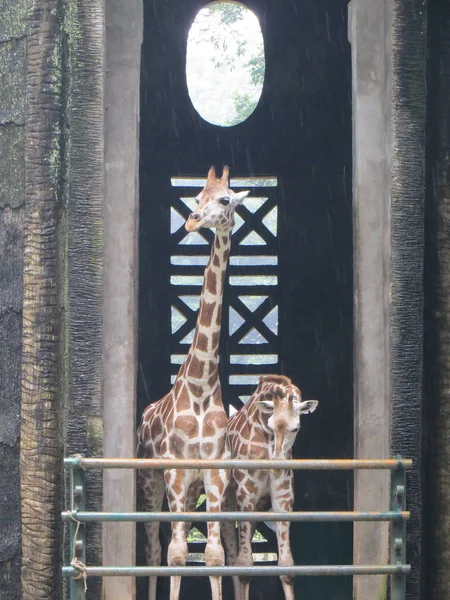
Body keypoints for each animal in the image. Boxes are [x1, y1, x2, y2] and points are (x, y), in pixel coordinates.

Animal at [137, 166, 250, 600]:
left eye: (225, 199)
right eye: (197, 196)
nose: (192, 220)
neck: (201, 386)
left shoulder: (214, 475)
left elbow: (215, 555)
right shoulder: (175, 471)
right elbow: (177, 554)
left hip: (193, 491)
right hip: (152, 485)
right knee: (155, 550)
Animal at [223, 376, 318, 600]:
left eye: (296, 428)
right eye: (271, 425)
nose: (277, 464)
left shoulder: (283, 495)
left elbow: (286, 565)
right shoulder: (246, 492)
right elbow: (245, 565)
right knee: (231, 557)